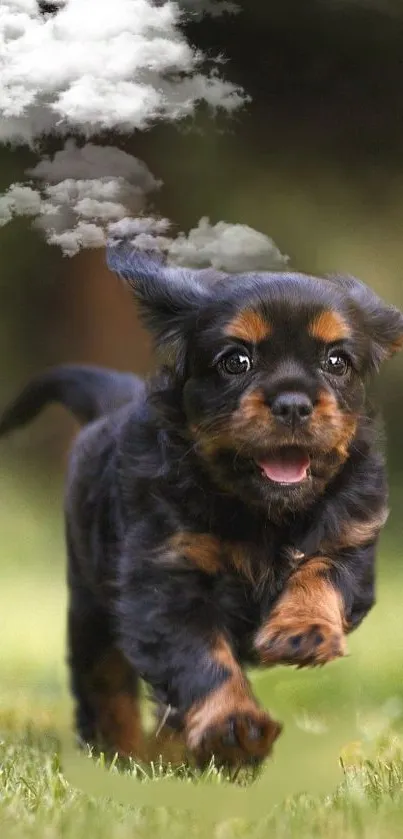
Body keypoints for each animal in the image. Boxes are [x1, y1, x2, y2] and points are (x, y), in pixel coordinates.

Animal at [1, 251, 402, 776]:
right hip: (90, 603)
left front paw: (302, 631)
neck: (263, 512)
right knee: (104, 684)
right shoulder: (166, 579)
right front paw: (235, 728)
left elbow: (321, 573)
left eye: (337, 361)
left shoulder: (352, 538)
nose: (294, 404)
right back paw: (123, 754)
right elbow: (202, 659)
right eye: (236, 361)